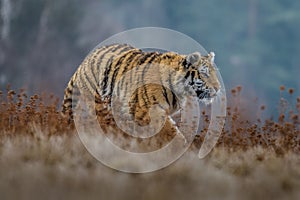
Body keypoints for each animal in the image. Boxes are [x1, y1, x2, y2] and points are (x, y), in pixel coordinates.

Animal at [61, 42, 220, 148]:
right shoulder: (147, 110)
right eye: (205, 73)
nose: (218, 88)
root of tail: (85, 60)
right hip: (100, 105)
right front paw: (181, 147)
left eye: (214, 73)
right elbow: (169, 131)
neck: (181, 91)